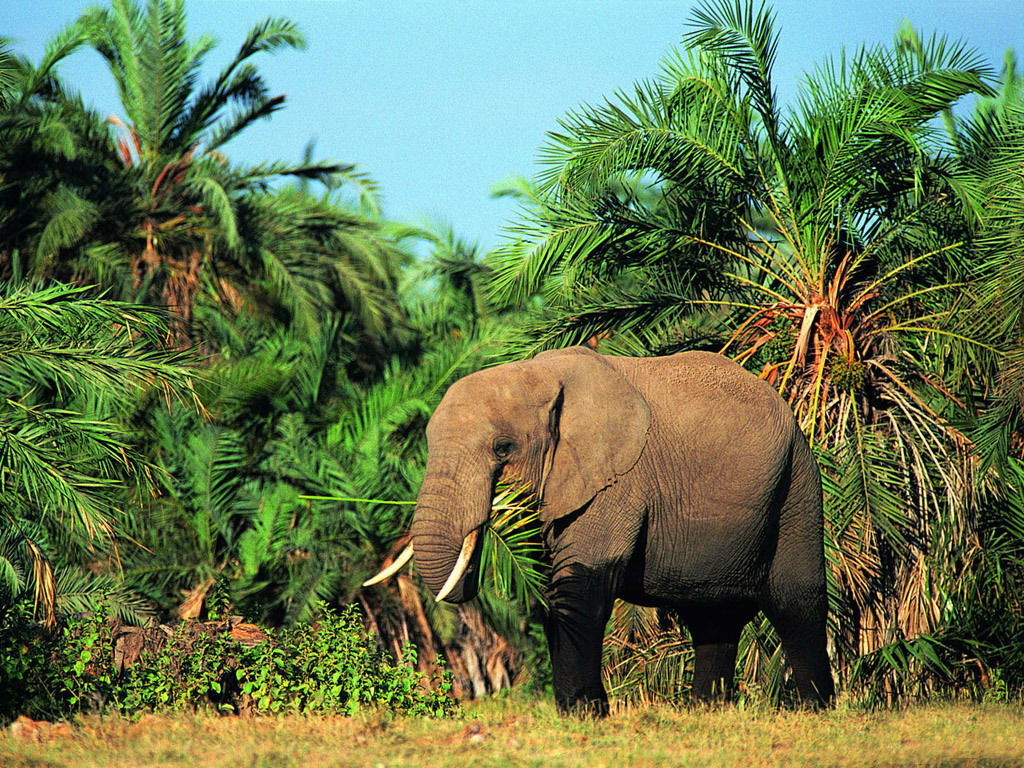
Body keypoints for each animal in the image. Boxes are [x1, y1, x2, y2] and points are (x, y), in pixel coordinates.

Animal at [364, 348, 835, 716]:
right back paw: (707, 711)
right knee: (712, 616)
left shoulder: (618, 479)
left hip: (798, 482)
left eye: (502, 448)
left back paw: (815, 709)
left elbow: (580, 583)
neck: (538, 373)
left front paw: (583, 714)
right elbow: (550, 587)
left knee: (795, 599)